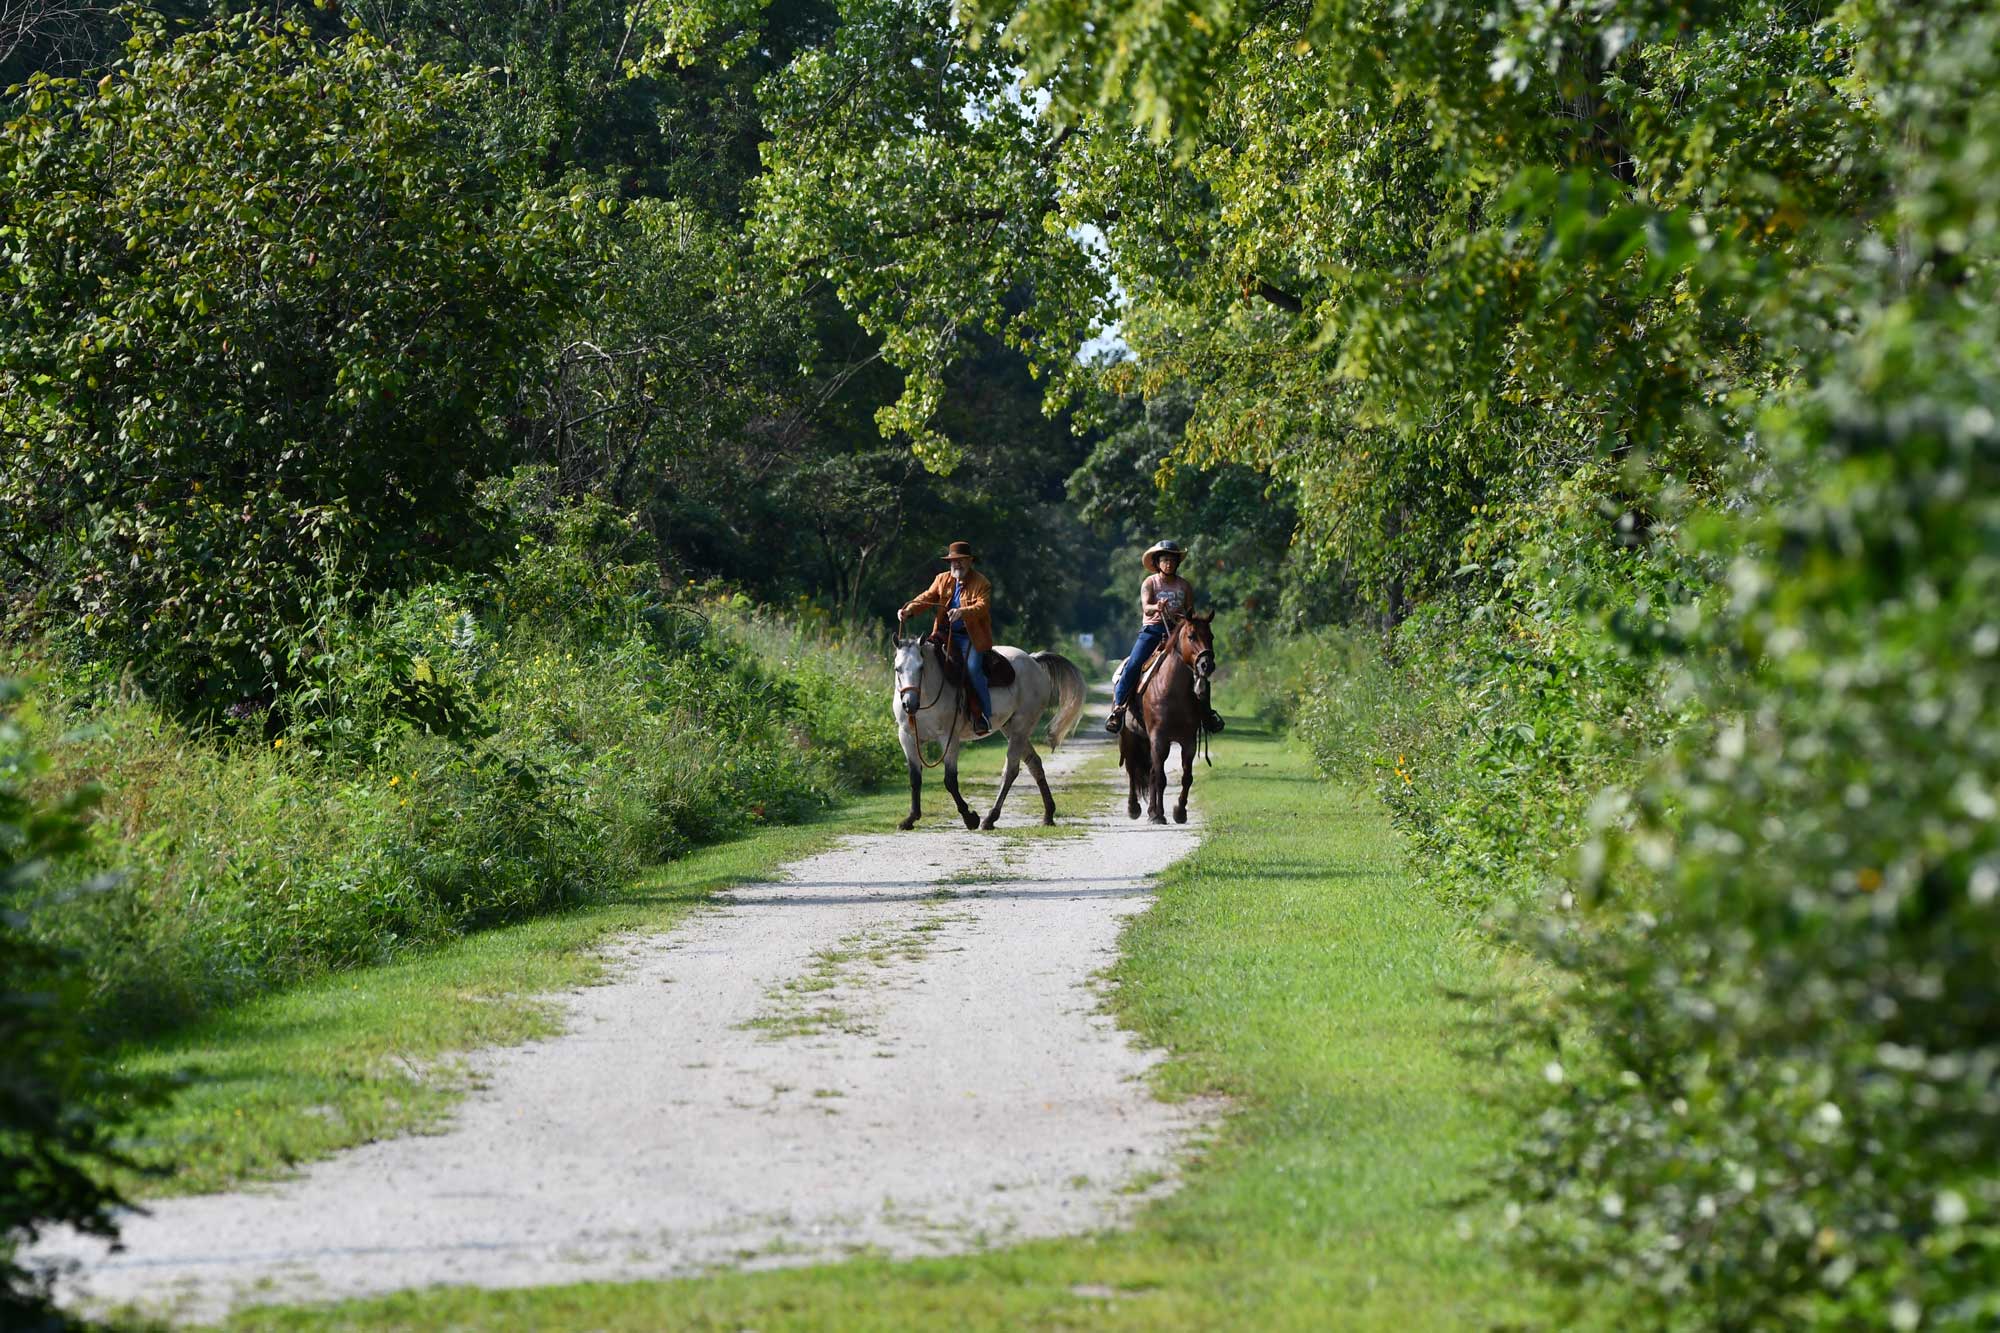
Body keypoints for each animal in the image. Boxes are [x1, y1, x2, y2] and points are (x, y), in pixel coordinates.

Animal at [888, 632, 1080, 824]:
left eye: (921, 668)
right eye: (898, 669)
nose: (909, 704)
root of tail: (1033, 659)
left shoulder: (949, 738)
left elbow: (950, 780)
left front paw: (969, 818)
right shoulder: (907, 737)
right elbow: (915, 778)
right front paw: (911, 818)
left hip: (1021, 726)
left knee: (1011, 769)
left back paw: (991, 817)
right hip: (1010, 728)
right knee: (1034, 763)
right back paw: (1048, 814)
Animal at [1120, 608, 1208, 820]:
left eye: (1211, 636)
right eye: (1191, 636)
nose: (1206, 664)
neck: (1172, 690)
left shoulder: (1188, 740)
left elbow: (1186, 777)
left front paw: (1179, 812)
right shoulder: (1159, 738)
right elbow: (1160, 778)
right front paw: (1159, 816)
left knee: (1150, 771)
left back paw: (1151, 809)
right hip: (1129, 737)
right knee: (1132, 769)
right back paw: (1134, 808)